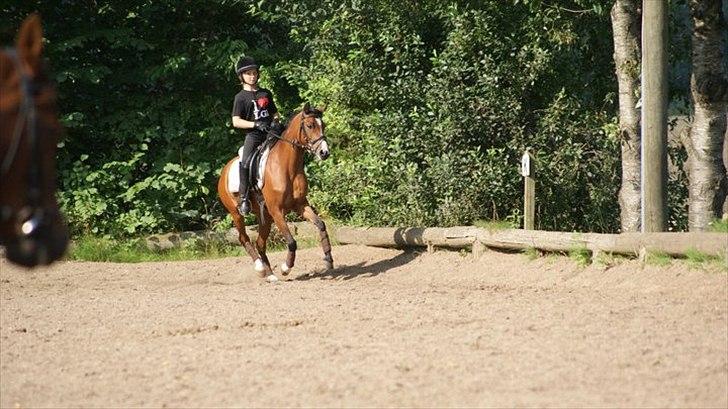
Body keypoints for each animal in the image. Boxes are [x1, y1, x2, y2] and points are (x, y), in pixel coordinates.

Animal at [218, 103, 334, 282]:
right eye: (309, 125)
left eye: (324, 125)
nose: (324, 153)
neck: (288, 167)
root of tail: (224, 171)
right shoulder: (277, 210)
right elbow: (292, 242)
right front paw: (286, 268)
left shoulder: (300, 205)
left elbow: (321, 224)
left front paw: (328, 259)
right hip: (236, 213)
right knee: (243, 238)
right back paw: (260, 268)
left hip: (265, 217)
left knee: (260, 243)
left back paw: (270, 274)